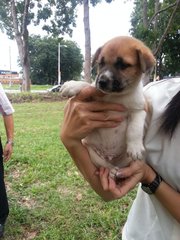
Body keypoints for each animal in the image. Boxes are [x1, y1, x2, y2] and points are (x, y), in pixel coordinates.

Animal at [59, 36, 155, 179]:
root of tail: (110, 157)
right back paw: (111, 170)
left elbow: (135, 128)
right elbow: (88, 85)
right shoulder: (94, 94)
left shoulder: (139, 109)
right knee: (104, 165)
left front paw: (135, 147)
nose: (102, 82)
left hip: (125, 159)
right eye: (101, 63)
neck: (117, 96)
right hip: (91, 151)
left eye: (123, 65)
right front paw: (72, 85)